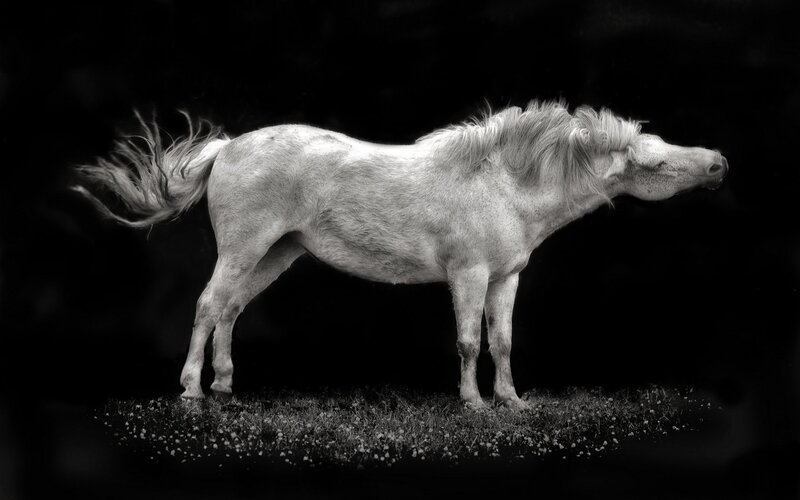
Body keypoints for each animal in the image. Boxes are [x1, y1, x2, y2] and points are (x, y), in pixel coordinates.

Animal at [74, 100, 728, 409]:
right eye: (657, 163)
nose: (718, 162)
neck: (503, 183)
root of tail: (228, 147)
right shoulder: (468, 275)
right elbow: (468, 341)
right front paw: (473, 403)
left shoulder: (506, 279)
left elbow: (502, 341)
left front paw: (511, 400)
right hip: (244, 247)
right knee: (209, 305)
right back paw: (190, 390)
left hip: (275, 255)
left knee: (231, 310)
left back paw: (226, 385)